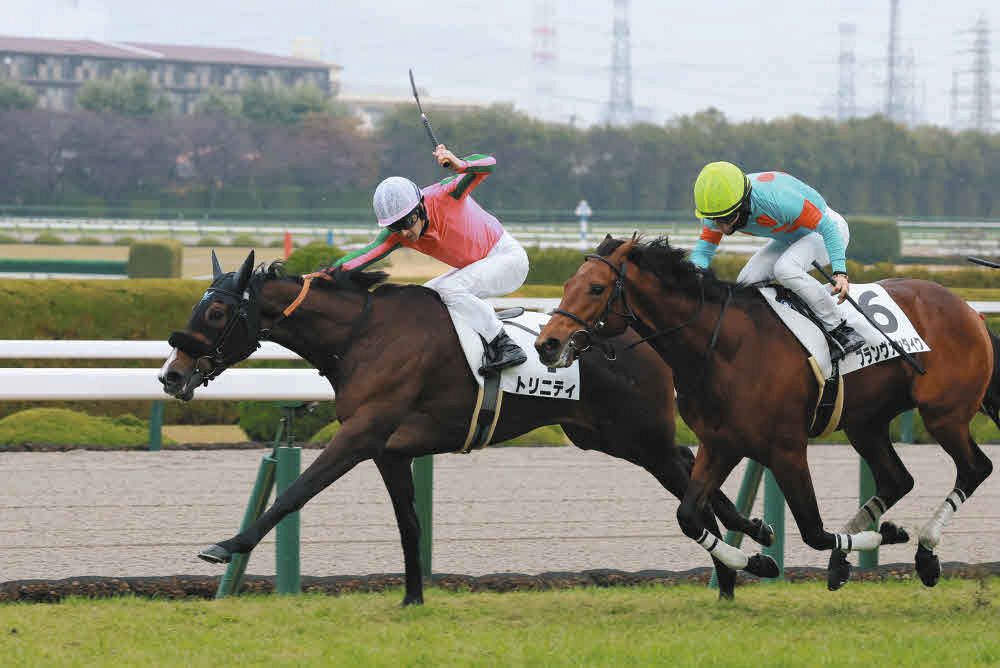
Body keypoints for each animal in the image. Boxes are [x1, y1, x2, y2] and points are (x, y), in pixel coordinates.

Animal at [158, 250, 775, 604]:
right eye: (196, 307)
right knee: (695, 472)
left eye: (216, 313)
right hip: (604, 436)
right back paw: (745, 556)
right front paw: (412, 599)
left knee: (692, 476)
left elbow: (296, 492)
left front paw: (226, 545)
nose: (170, 374)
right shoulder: (390, 450)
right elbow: (409, 525)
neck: (362, 334)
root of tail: (638, 337)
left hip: (638, 436)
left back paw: (742, 559)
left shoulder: (361, 433)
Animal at [536, 235, 999, 590]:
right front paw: (758, 560)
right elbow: (688, 515)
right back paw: (856, 556)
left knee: (975, 468)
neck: (722, 347)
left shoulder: (786, 449)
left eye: (596, 288)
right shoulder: (719, 444)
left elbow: (814, 532)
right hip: (865, 423)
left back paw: (925, 551)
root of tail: (969, 310)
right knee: (898, 478)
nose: (547, 344)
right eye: (568, 283)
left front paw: (887, 534)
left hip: (944, 413)